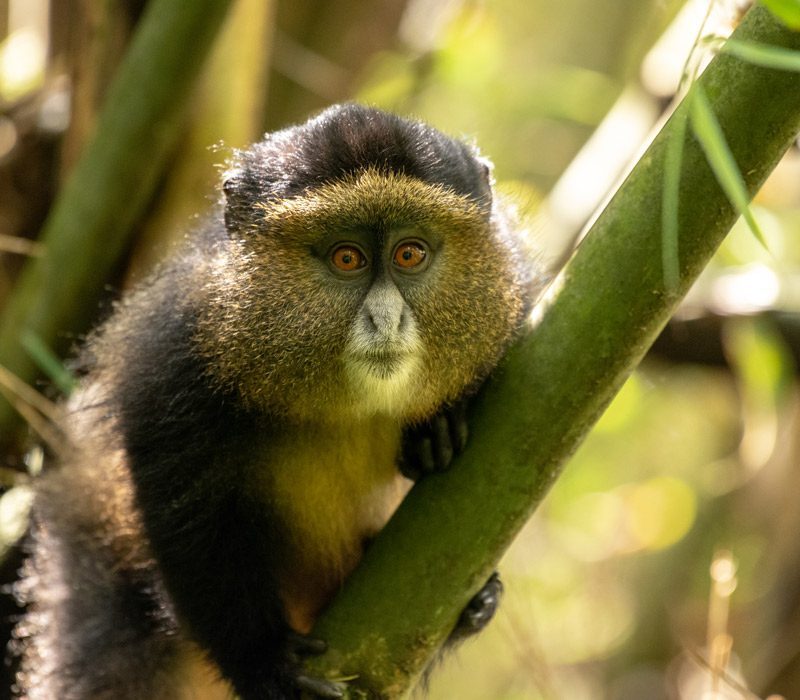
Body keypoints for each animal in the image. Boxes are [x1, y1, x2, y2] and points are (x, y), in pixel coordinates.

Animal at [12, 103, 542, 699]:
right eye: (347, 258)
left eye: (410, 253)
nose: (386, 318)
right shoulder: (175, 358)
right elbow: (185, 515)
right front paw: (261, 661)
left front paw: (439, 425)